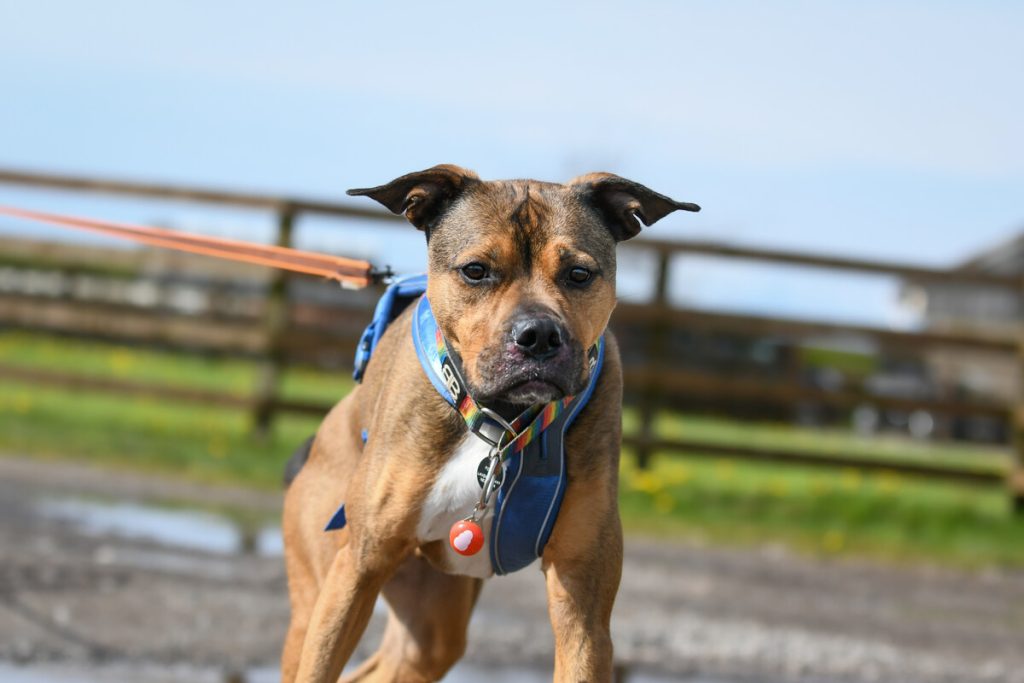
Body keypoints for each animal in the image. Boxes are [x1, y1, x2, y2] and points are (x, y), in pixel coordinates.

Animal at [280, 166, 696, 683]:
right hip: (317, 598)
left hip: (430, 628)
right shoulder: (357, 570)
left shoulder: (583, 600)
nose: (539, 335)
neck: (502, 421)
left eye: (579, 274)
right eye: (476, 270)